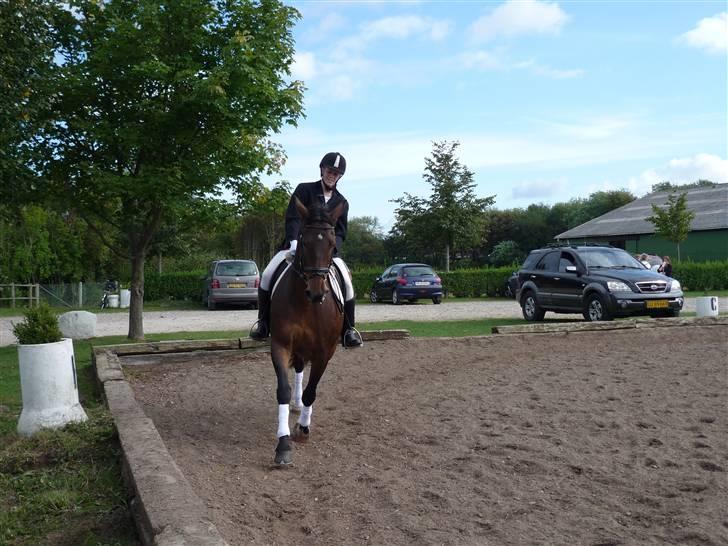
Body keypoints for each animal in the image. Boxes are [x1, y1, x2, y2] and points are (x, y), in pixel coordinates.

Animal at [270, 196, 346, 464]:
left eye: (332, 244)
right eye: (303, 240)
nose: (316, 292)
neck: (306, 305)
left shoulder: (325, 352)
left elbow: (311, 392)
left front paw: (303, 427)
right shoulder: (280, 345)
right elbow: (283, 390)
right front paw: (283, 444)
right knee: (299, 370)